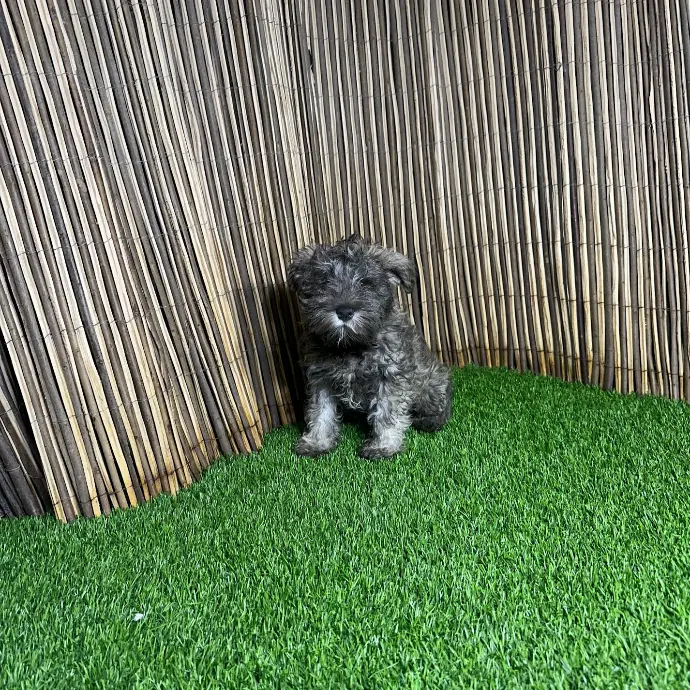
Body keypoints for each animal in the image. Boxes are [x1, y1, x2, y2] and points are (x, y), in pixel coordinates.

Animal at [287, 234, 452, 459]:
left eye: (366, 283)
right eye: (324, 281)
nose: (344, 311)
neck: (350, 346)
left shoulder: (390, 376)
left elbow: (386, 413)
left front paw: (383, 445)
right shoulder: (321, 379)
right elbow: (321, 412)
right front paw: (317, 442)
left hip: (431, 383)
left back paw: (430, 420)